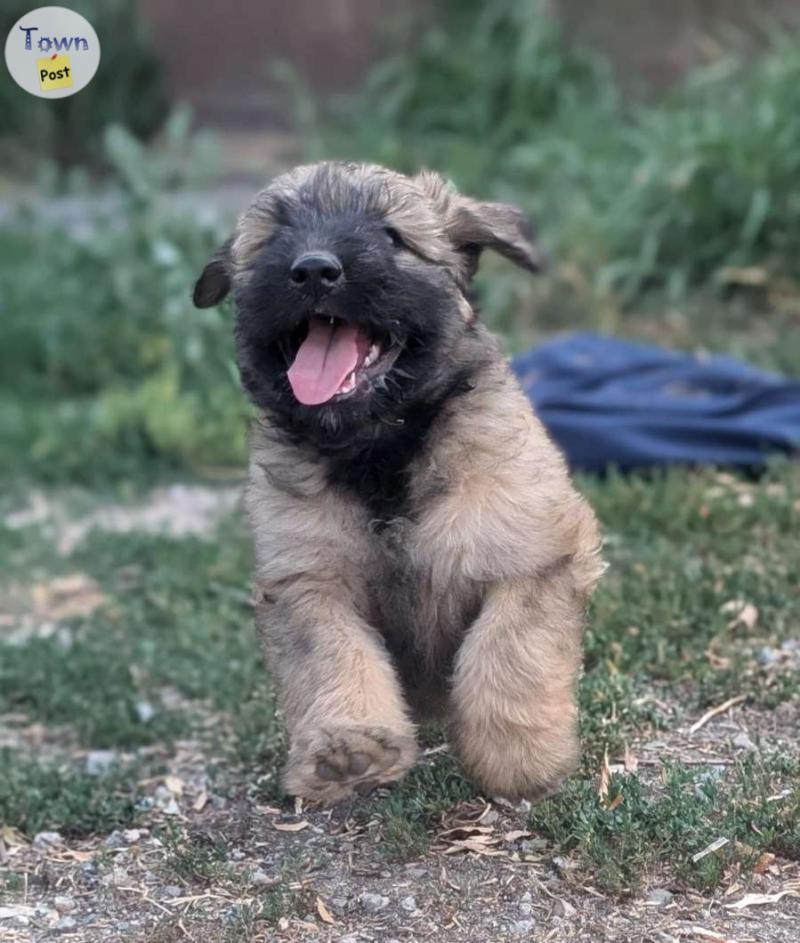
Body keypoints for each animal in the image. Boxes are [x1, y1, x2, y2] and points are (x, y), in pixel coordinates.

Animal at [194, 162, 604, 804]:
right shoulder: (307, 578)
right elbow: (332, 653)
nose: (314, 269)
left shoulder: (534, 552)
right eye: (275, 237)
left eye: (391, 235)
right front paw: (348, 746)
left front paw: (518, 757)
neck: (380, 448)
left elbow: (509, 649)